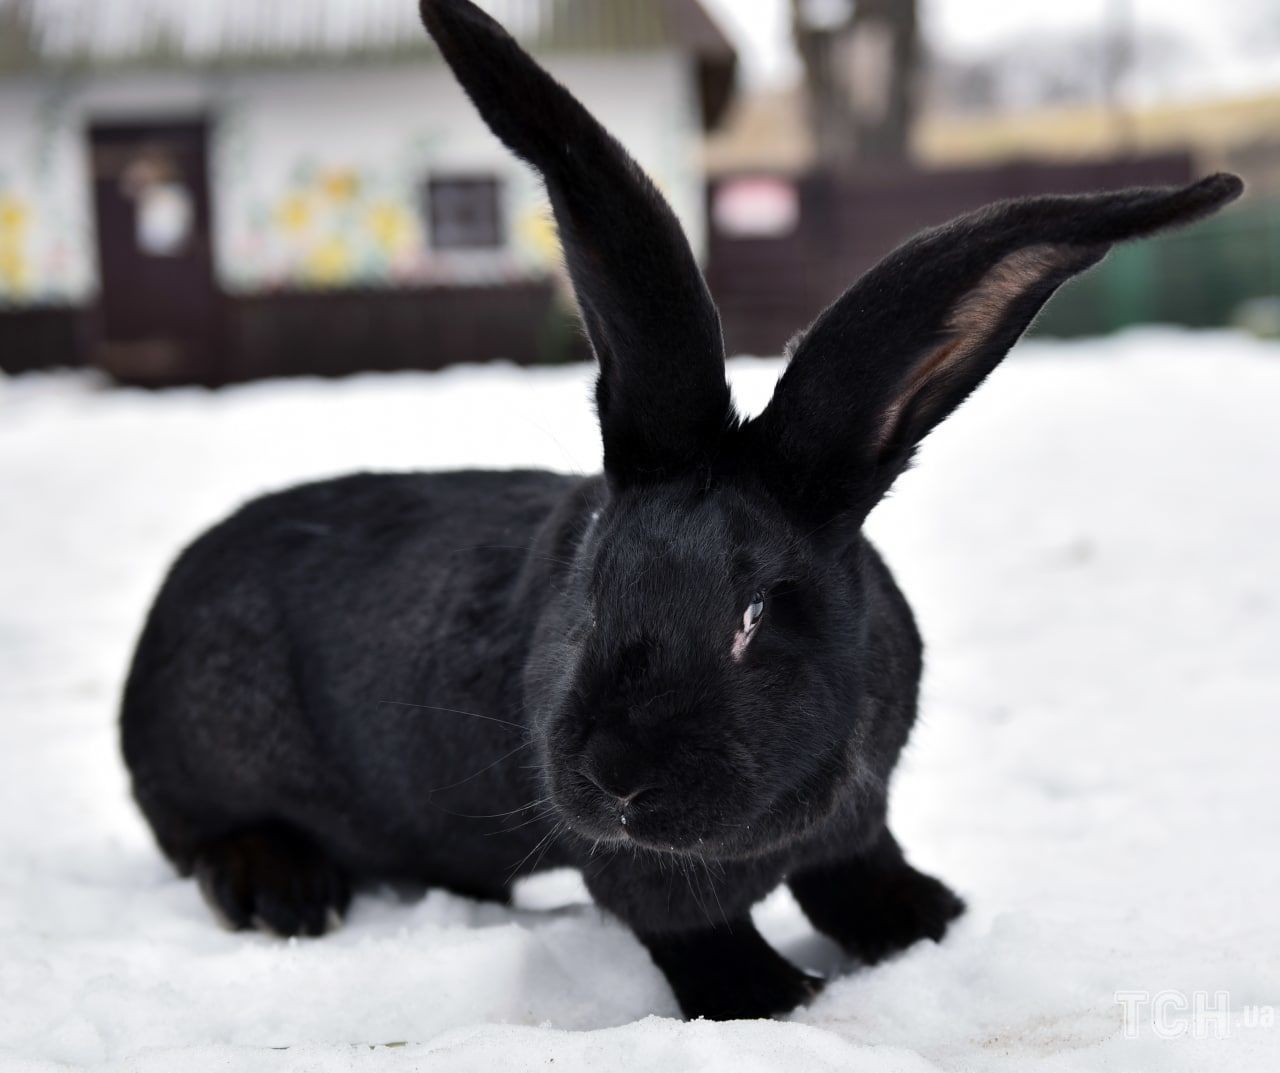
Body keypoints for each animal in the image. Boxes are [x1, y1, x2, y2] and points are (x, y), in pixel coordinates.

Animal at [120, 0, 1239, 1024]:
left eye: (754, 617)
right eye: (588, 598)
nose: (616, 774)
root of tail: (160, 616)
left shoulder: (859, 820)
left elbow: (858, 875)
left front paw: (931, 921)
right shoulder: (638, 869)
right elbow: (687, 923)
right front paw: (773, 997)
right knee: (204, 834)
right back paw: (280, 890)